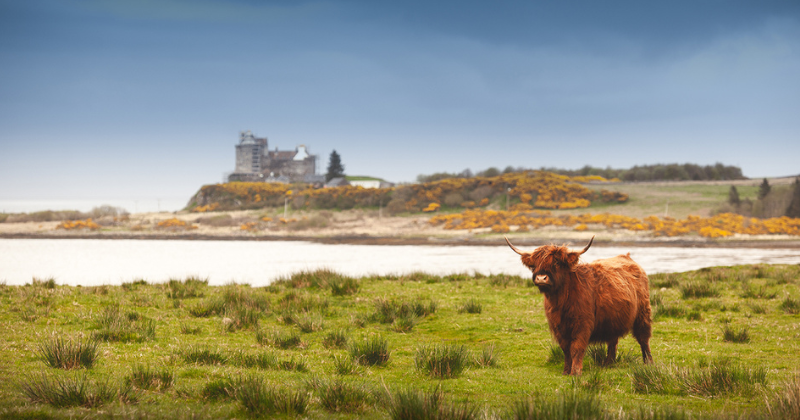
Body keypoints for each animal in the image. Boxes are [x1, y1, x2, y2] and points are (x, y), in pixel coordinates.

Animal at [504, 235, 652, 376]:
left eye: (556, 262)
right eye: (534, 265)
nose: (541, 278)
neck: (561, 301)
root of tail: (628, 258)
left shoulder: (582, 324)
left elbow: (576, 347)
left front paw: (575, 372)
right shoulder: (559, 327)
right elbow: (566, 349)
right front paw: (566, 370)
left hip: (642, 313)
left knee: (643, 338)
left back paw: (648, 363)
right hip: (613, 319)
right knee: (613, 340)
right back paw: (608, 363)